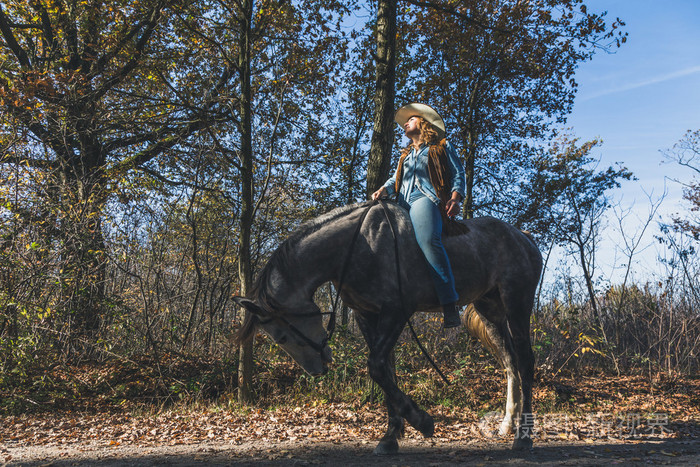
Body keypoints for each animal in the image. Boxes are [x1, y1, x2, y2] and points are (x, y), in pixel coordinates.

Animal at [234, 199, 540, 456]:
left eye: (282, 336)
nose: (316, 370)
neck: (359, 244)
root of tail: (522, 236)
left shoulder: (396, 311)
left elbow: (378, 366)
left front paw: (422, 421)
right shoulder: (367, 315)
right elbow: (387, 371)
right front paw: (391, 435)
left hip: (517, 304)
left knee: (525, 362)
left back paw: (523, 437)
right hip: (491, 311)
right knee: (510, 363)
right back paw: (507, 425)